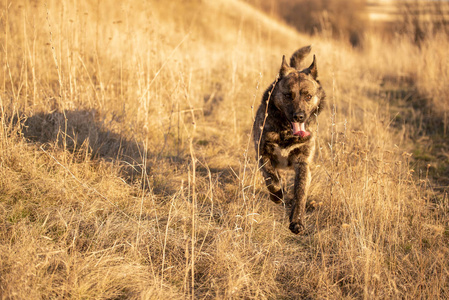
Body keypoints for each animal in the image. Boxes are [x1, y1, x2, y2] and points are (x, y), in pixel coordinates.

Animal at [252, 46, 326, 234]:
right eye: (287, 95)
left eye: (308, 96)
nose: (299, 116)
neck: (286, 132)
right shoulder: (263, 154)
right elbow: (271, 179)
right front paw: (277, 195)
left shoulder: (303, 163)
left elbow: (300, 193)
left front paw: (297, 221)